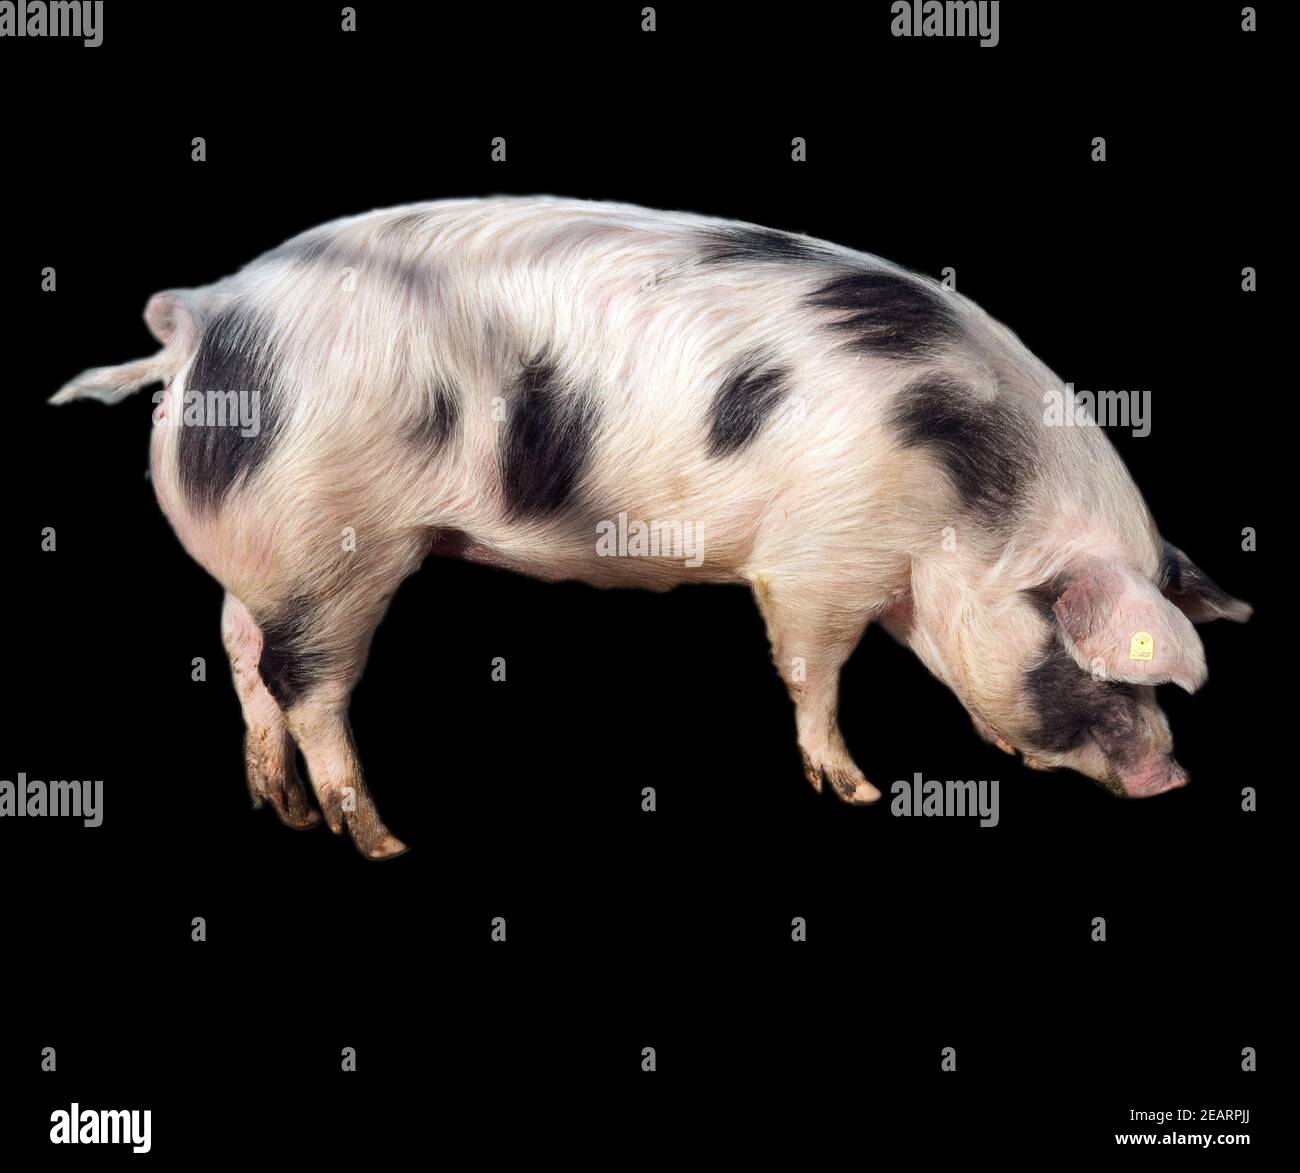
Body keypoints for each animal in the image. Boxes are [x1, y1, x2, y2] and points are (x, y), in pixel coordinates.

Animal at [49, 197, 1252, 857]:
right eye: (1094, 659)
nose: (1174, 777)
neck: (965, 507)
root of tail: (205, 316)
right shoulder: (816, 560)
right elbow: (810, 670)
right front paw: (855, 790)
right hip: (337, 548)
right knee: (308, 685)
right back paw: (379, 841)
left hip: (268, 549)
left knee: (241, 651)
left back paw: (283, 812)